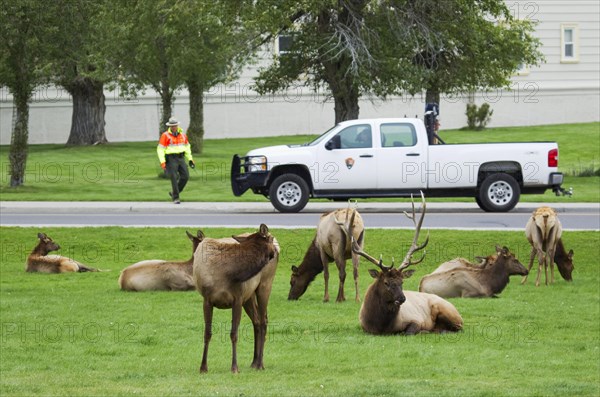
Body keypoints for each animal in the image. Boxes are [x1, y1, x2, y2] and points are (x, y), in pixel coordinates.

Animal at [193, 224, 280, 372]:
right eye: (270, 238)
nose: (275, 250)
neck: (226, 272)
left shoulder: (237, 299)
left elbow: (234, 334)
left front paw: (234, 367)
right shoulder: (207, 300)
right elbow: (207, 333)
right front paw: (203, 367)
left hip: (265, 284)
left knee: (264, 321)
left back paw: (260, 363)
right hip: (249, 296)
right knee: (257, 321)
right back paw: (254, 362)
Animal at [352, 193, 464, 336]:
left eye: (402, 282)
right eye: (386, 282)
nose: (402, 298)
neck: (381, 326)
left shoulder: (415, 320)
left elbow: (409, 332)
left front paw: (421, 331)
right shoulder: (364, 327)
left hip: (447, 311)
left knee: (455, 328)